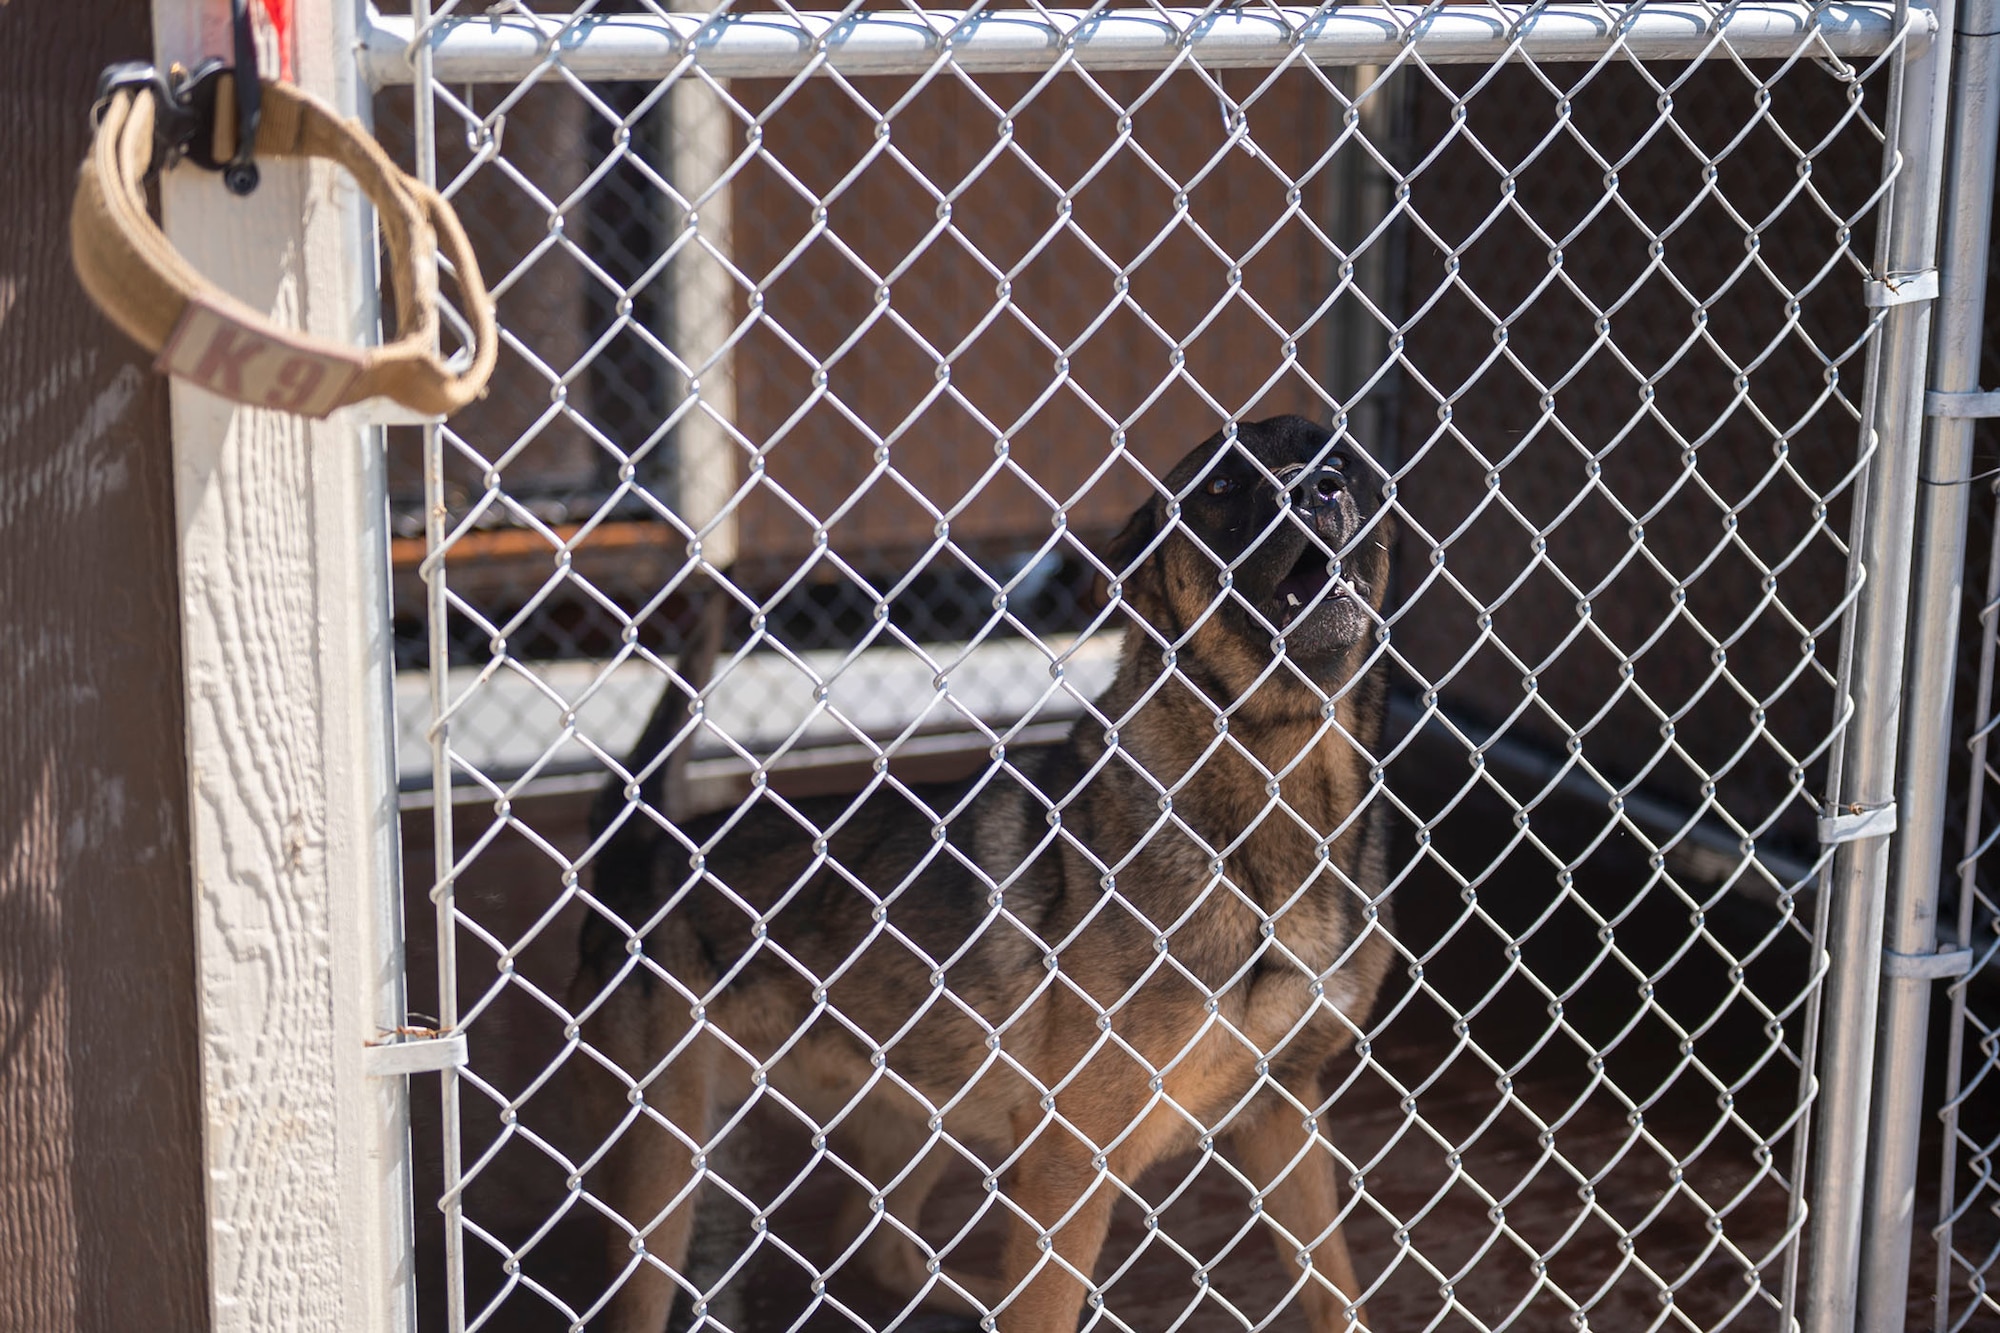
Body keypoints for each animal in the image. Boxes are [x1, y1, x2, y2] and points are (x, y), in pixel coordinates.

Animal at [580, 416, 1392, 1328]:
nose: (1317, 488)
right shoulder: (1069, 1167)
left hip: (914, 1106)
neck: (1273, 801)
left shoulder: (1287, 1109)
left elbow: (1337, 1290)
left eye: (1342, 460)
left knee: (877, 1241)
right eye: (1219, 485)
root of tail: (638, 844)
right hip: (660, 1170)